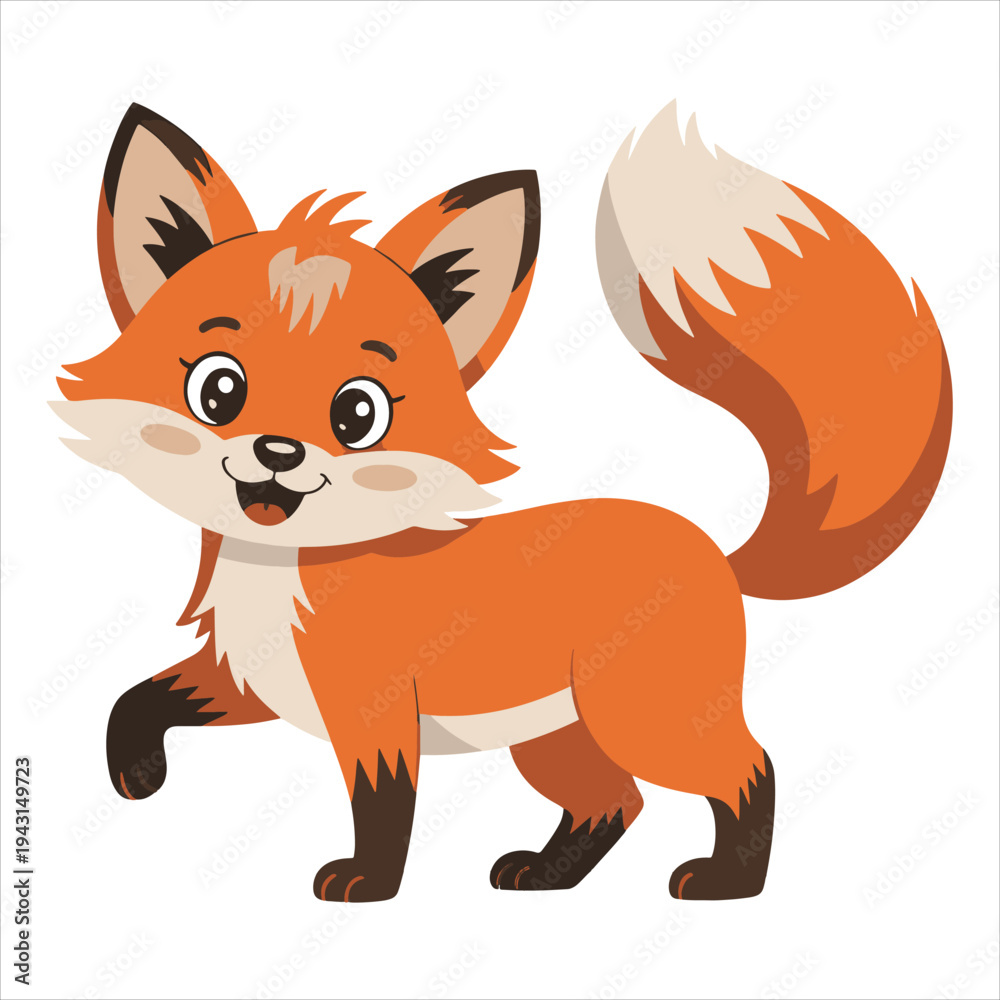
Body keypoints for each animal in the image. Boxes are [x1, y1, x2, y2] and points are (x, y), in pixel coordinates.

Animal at [53, 101, 952, 902]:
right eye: (219, 390)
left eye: (357, 413)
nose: (278, 453)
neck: (280, 578)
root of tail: (714, 550)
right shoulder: (249, 682)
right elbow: (139, 699)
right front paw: (136, 774)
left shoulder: (374, 715)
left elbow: (383, 807)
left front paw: (369, 885)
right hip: (556, 741)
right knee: (617, 802)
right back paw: (544, 877)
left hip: (643, 719)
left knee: (747, 769)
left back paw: (727, 883)